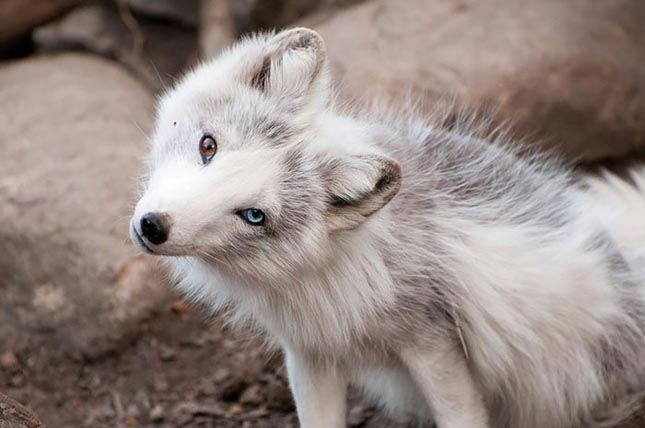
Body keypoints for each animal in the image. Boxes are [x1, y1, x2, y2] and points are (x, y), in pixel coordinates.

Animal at [130, 28, 644, 426]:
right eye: (208, 146)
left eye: (254, 215)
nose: (152, 227)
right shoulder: (310, 352)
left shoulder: (431, 341)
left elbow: (461, 416)